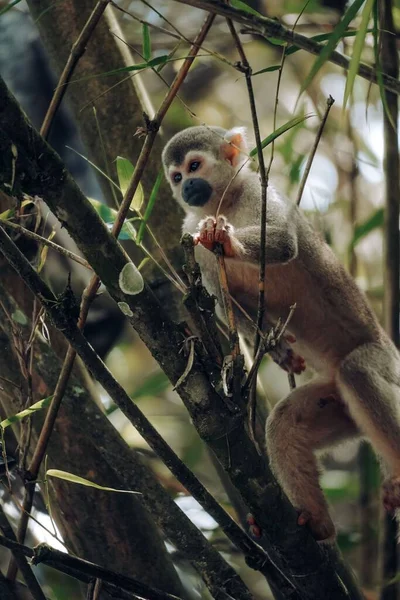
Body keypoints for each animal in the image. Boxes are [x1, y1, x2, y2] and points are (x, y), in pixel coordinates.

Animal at [162, 126, 400, 544]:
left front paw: (231, 243)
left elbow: (284, 243)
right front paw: (273, 351)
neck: (223, 203)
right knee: (285, 422)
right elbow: (222, 299)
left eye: (194, 166)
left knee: (357, 370)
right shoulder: (189, 233)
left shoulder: (260, 192)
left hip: (387, 363)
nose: (187, 186)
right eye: (175, 177)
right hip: (340, 405)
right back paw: (315, 523)